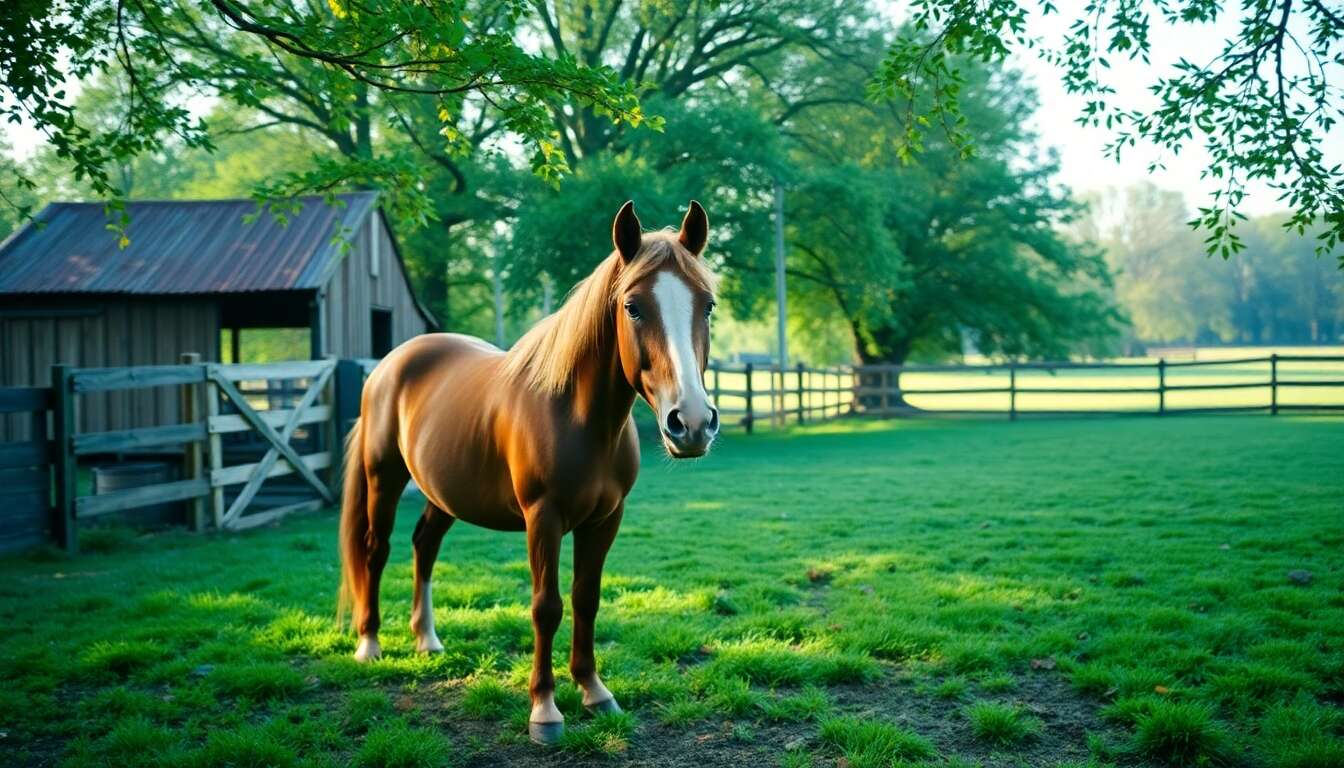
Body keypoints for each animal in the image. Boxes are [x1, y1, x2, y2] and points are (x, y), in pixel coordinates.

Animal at [339, 200, 720, 744]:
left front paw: (594, 691)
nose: (690, 423)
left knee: (424, 547)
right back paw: (369, 644)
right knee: (376, 549)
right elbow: (547, 606)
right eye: (632, 307)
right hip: (383, 479)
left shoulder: (605, 520)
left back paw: (427, 639)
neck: (578, 416)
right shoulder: (544, 518)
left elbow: (586, 598)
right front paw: (544, 710)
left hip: (443, 493)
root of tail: (391, 365)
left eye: (706, 305)